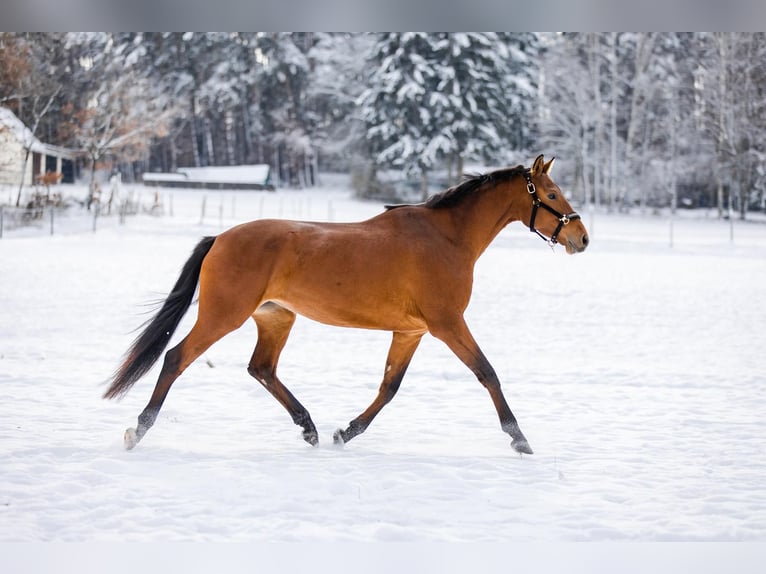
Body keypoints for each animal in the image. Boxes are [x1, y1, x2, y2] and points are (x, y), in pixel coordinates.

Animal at [105, 155, 592, 456]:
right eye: (551, 195)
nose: (582, 237)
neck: (447, 238)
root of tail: (220, 238)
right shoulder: (447, 324)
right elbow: (487, 373)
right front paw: (520, 440)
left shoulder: (411, 331)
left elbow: (389, 387)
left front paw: (346, 432)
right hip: (223, 315)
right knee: (175, 358)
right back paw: (138, 430)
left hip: (276, 318)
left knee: (261, 368)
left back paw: (310, 428)